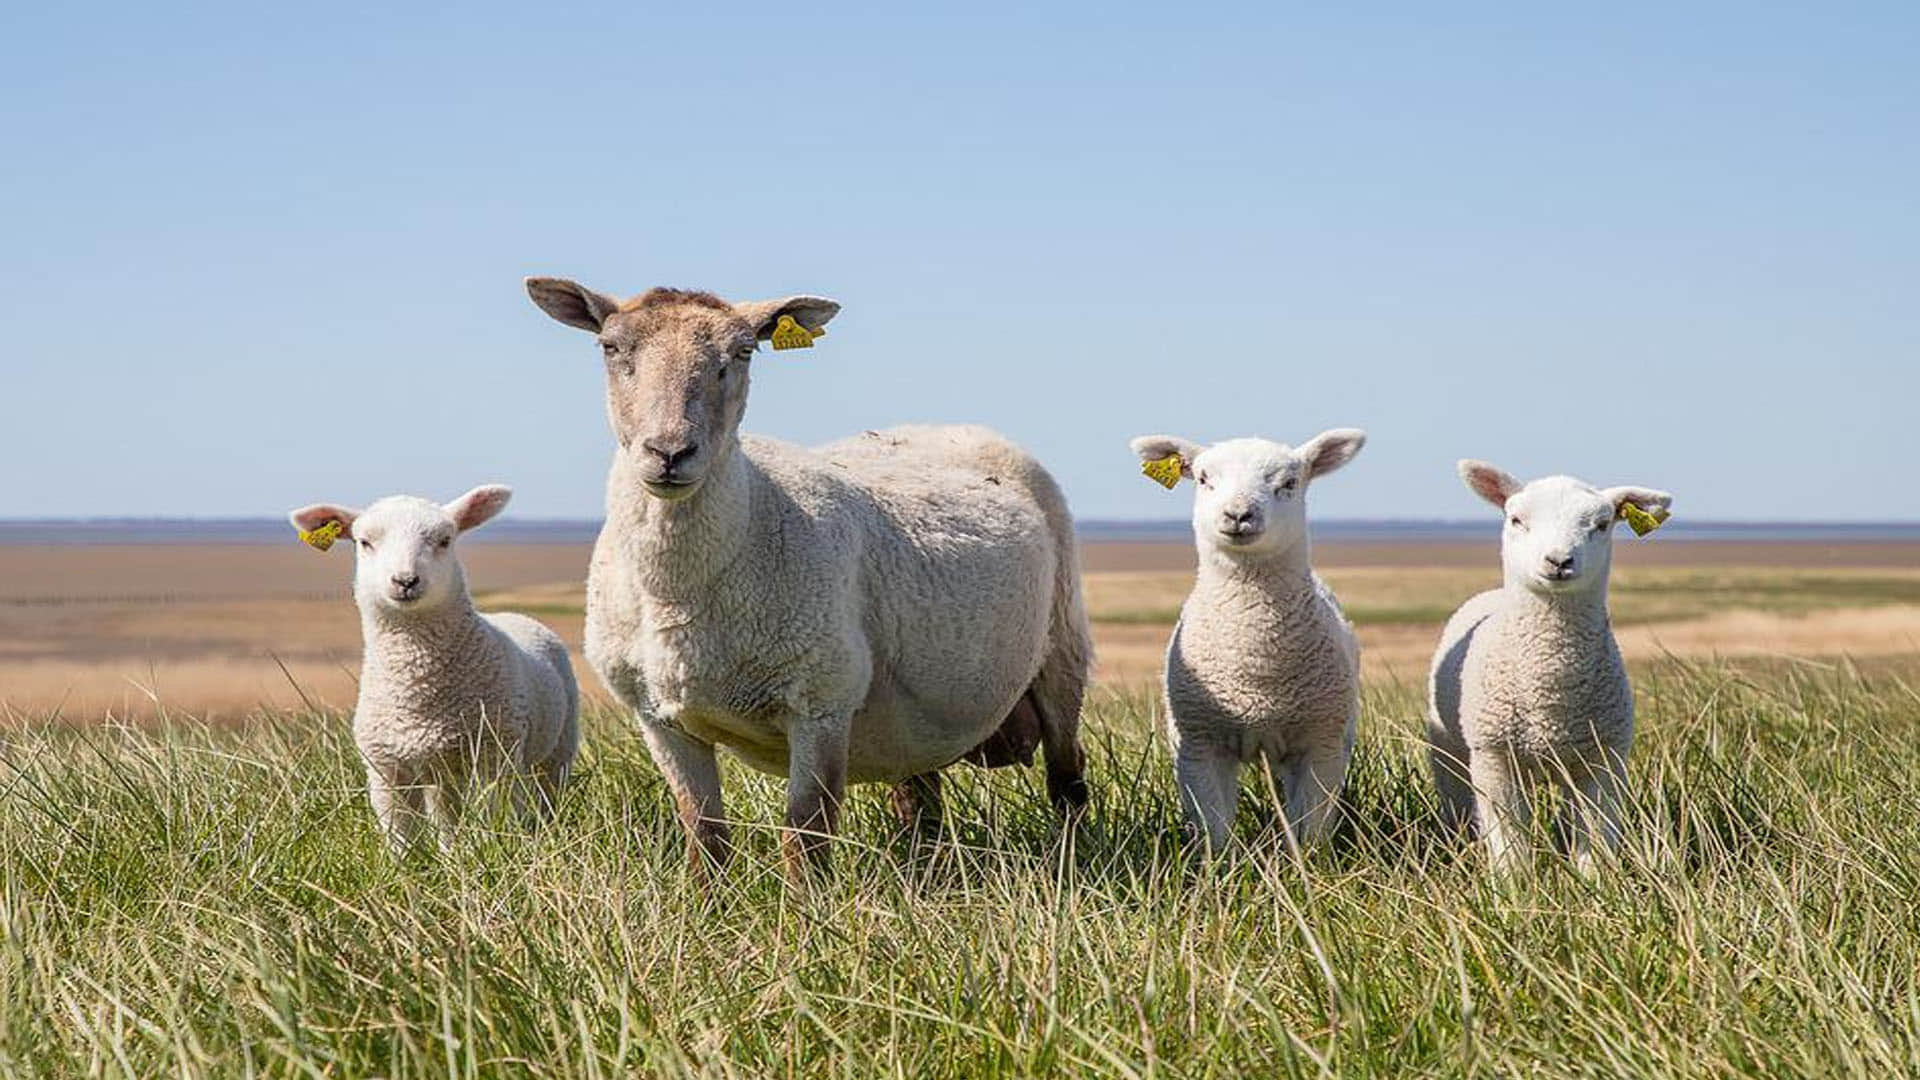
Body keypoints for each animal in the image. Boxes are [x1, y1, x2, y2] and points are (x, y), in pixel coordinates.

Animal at [288, 485, 580, 853]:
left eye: (444, 540)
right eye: (364, 542)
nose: (405, 580)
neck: (419, 691)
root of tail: (514, 614)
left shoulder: (494, 756)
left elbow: (494, 816)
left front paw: (492, 851)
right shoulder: (386, 771)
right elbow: (398, 835)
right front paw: (405, 865)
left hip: (557, 748)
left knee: (547, 793)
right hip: (441, 771)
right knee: (446, 815)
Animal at [524, 279, 1092, 876]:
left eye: (743, 353)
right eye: (610, 347)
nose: (670, 452)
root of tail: (943, 426)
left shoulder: (821, 702)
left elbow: (806, 834)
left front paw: (806, 903)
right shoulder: (660, 718)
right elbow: (704, 835)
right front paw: (707, 895)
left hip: (1062, 647)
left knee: (1067, 776)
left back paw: (1071, 862)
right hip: (916, 720)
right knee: (920, 799)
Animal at [1129, 429, 1367, 853]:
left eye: (1289, 483)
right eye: (1204, 478)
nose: (1238, 515)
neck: (1256, 666)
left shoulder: (1320, 743)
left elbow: (1310, 827)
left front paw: (1307, 865)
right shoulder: (1198, 745)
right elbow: (1213, 828)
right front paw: (1219, 867)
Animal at [1426, 461, 1673, 873]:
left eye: (1602, 524)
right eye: (1516, 519)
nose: (1558, 561)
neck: (1550, 690)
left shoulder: (1604, 761)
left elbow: (1595, 838)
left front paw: (1593, 884)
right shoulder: (1494, 759)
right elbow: (1508, 845)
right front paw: (1513, 886)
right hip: (1450, 751)